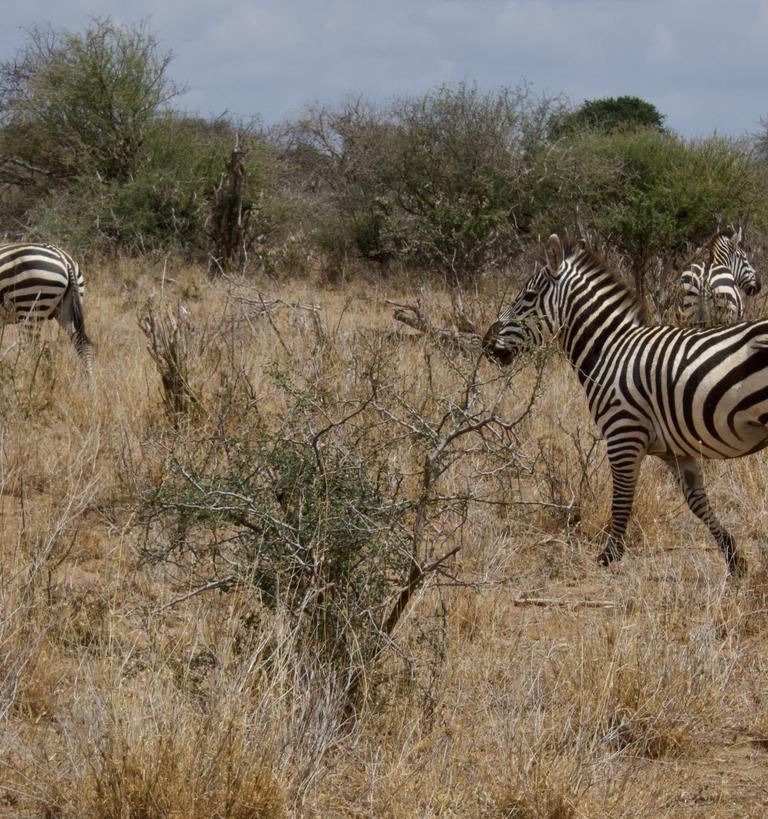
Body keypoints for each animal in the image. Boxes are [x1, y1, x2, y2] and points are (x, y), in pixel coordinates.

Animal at [0, 243, 93, 375]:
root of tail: (64, 259)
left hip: (29, 308)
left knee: (34, 351)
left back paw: (31, 378)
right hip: (67, 309)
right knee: (83, 344)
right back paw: (90, 381)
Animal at [482, 234, 768, 575]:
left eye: (527, 297)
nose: (486, 345)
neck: (609, 350)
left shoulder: (623, 434)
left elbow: (621, 499)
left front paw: (609, 556)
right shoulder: (676, 449)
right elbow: (697, 501)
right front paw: (733, 557)